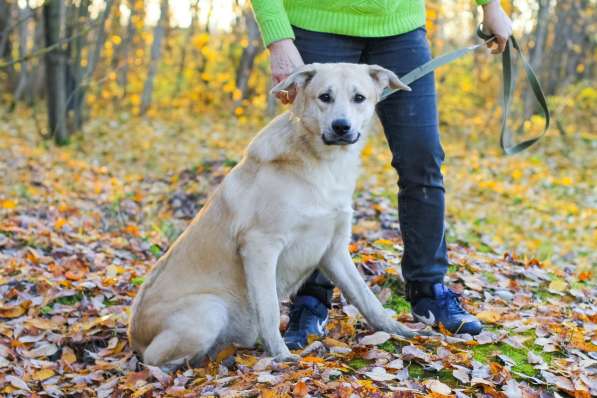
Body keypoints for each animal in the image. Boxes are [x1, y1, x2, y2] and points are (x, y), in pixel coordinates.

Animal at [127, 63, 422, 366]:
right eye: (325, 97)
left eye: (359, 98)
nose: (341, 126)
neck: (325, 165)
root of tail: (134, 335)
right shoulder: (261, 246)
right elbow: (268, 308)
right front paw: (281, 355)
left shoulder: (333, 250)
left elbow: (366, 298)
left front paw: (398, 331)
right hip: (209, 310)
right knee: (156, 360)